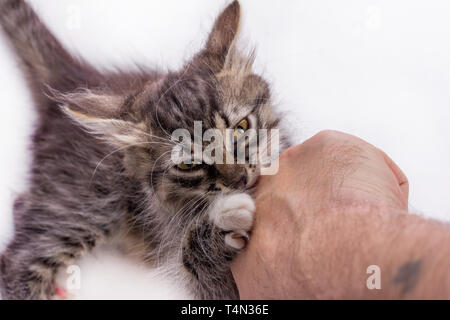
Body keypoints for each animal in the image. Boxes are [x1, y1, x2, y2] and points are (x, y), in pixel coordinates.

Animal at [0, 0, 288, 300]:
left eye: (241, 128)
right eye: (188, 165)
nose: (239, 180)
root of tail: (74, 78)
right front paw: (220, 230)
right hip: (87, 201)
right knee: (18, 257)